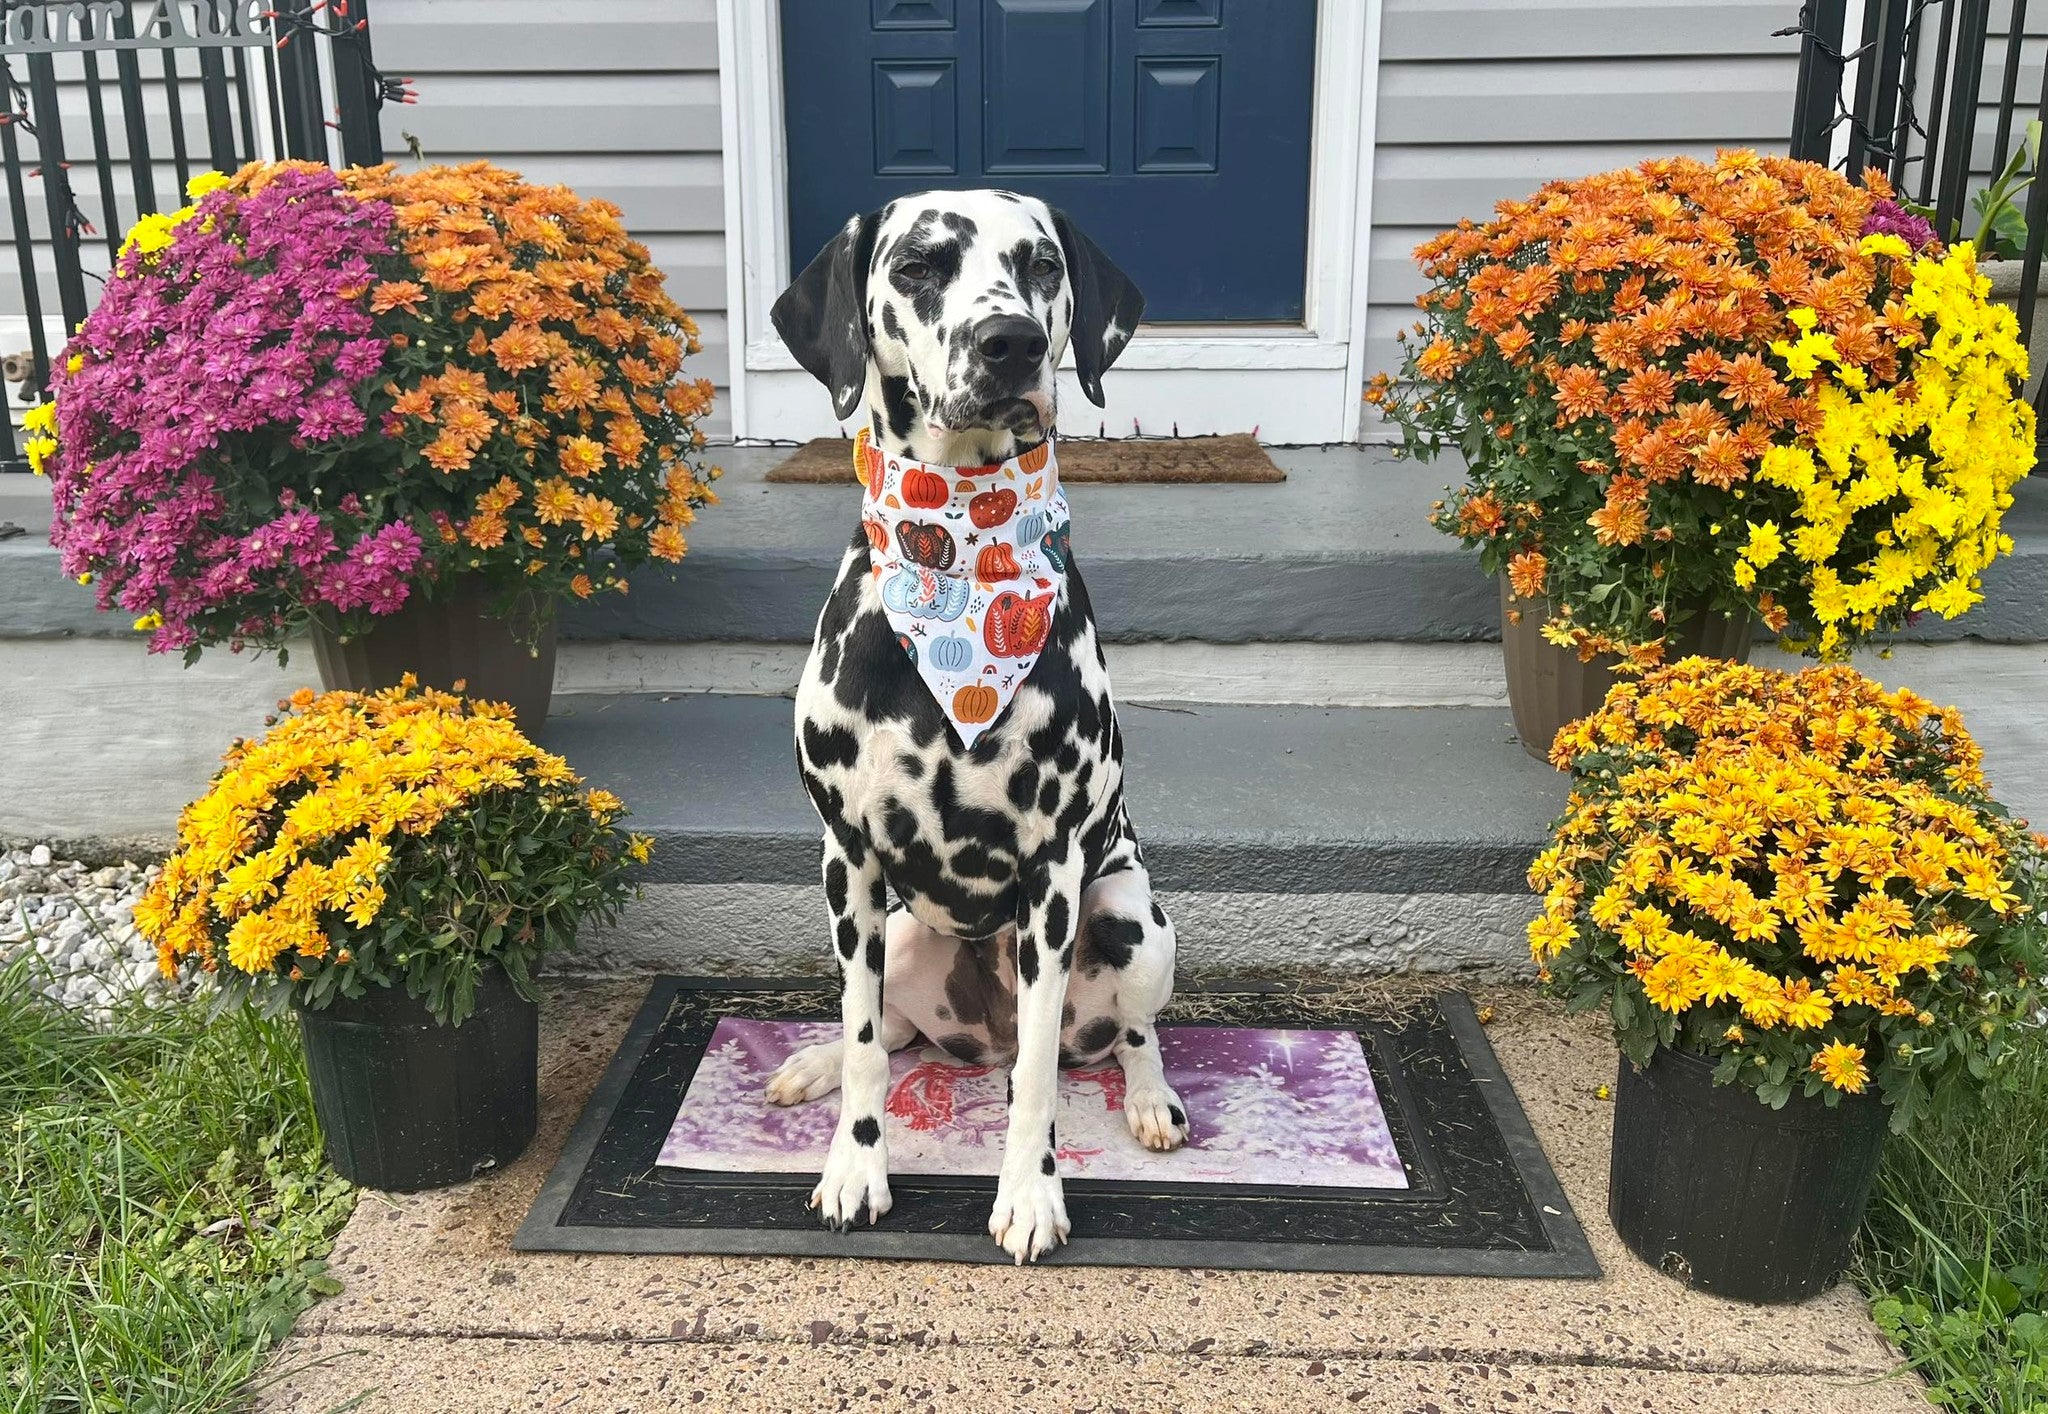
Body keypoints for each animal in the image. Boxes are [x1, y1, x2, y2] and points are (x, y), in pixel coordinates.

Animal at [770, 192, 1187, 1262]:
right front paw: (855, 1166)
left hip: (1131, 914)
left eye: (1041, 264)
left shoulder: (1053, 878)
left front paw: (1031, 1193)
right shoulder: (848, 861)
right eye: (918, 265)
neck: (955, 545)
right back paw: (813, 1065)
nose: (1012, 344)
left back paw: (1152, 1098)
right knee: (894, 1029)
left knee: (1132, 1035)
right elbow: (869, 1044)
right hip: (905, 933)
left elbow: (1038, 1075)